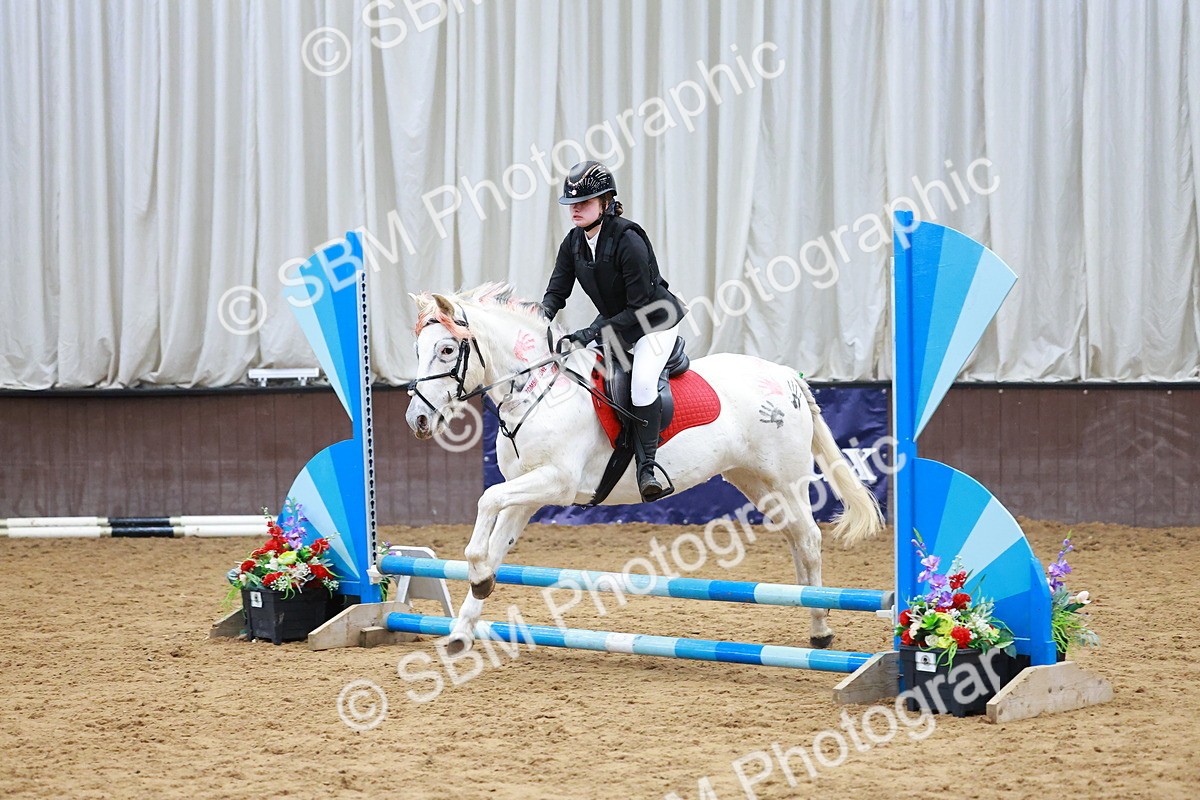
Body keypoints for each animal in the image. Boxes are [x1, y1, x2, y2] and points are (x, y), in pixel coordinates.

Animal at [404, 283, 884, 654]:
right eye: (418, 350)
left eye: (447, 349)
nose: (418, 420)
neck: (536, 390)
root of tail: (788, 376)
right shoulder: (526, 489)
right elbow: (496, 541)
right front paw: (465, 624)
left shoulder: (556, 482)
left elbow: (486, 503)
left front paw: (476, 574)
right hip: (755, 481)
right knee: (795, 538)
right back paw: (812, 610)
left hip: (786, 477)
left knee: (810, 539)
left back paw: (821, 628)